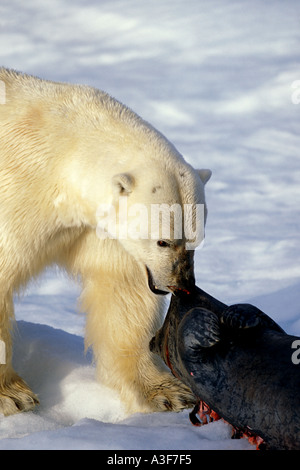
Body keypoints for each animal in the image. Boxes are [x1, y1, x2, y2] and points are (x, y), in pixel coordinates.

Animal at [0, 69, 211, 414]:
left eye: (196, 240)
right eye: (163, 242)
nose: (181, 283)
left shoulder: (98, 227)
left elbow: (122, 290)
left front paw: (166, 392)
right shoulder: (18, 196)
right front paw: (14, 396)